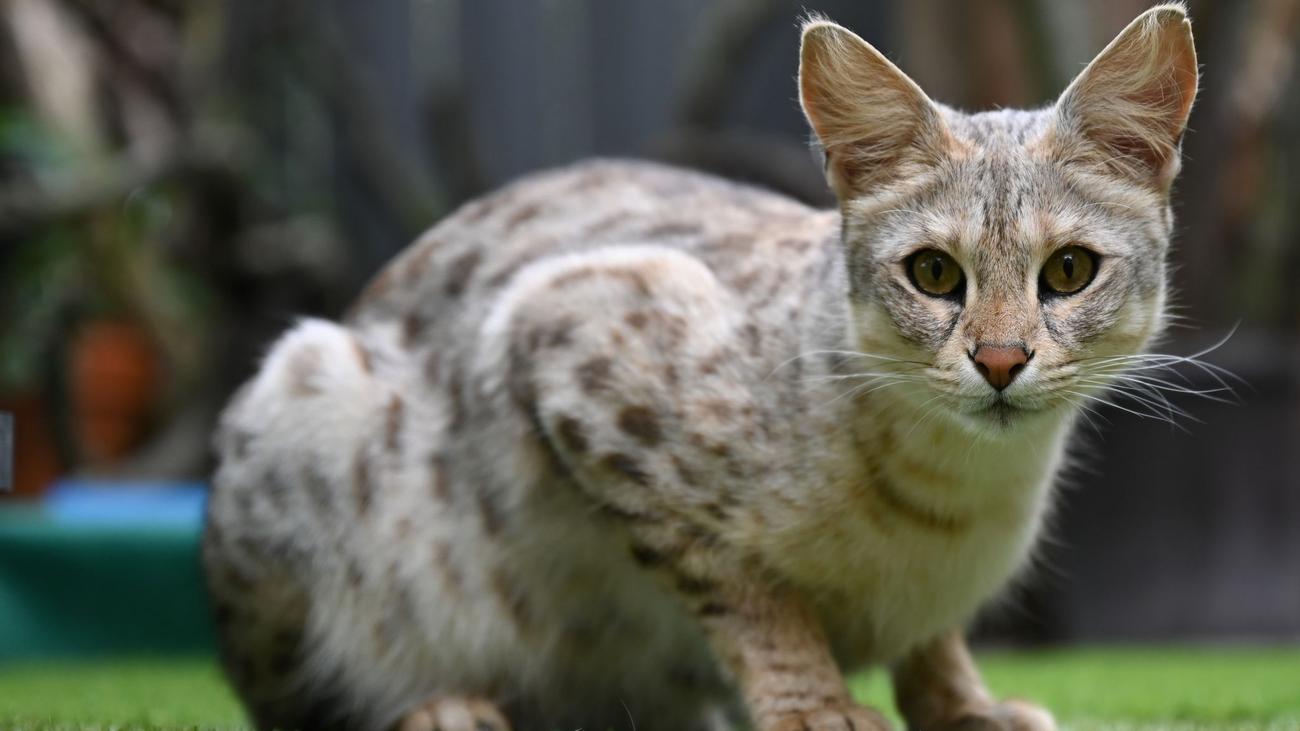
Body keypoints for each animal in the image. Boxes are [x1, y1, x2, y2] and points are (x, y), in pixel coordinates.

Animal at [203, 5, 1198, 731]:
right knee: (303, 707)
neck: (961, 494)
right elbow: (745, 591)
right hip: (304, 397)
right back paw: (442, 708)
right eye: (933, 273)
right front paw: (815, 704)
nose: (998, 359)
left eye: (1067, 271)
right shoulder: (572, 337)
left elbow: (931, 636)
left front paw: (963, 706)